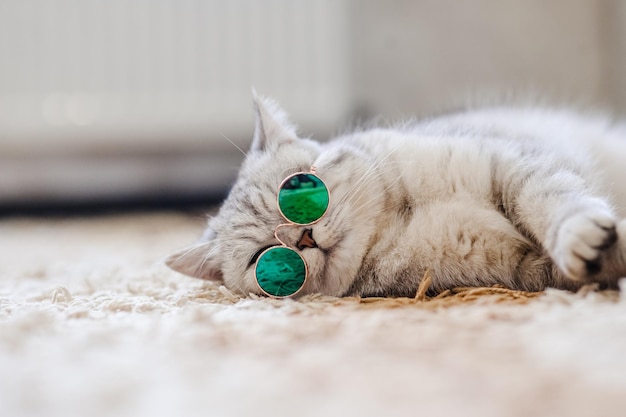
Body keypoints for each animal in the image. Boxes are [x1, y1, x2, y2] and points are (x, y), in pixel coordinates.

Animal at [165, 94, 624, 296]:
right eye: (264, 260)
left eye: (297, 188)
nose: (303, 237)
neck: (401, 219)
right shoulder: (518, 270)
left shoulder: (514, 165)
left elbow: (552, 201)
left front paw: (579, 232)